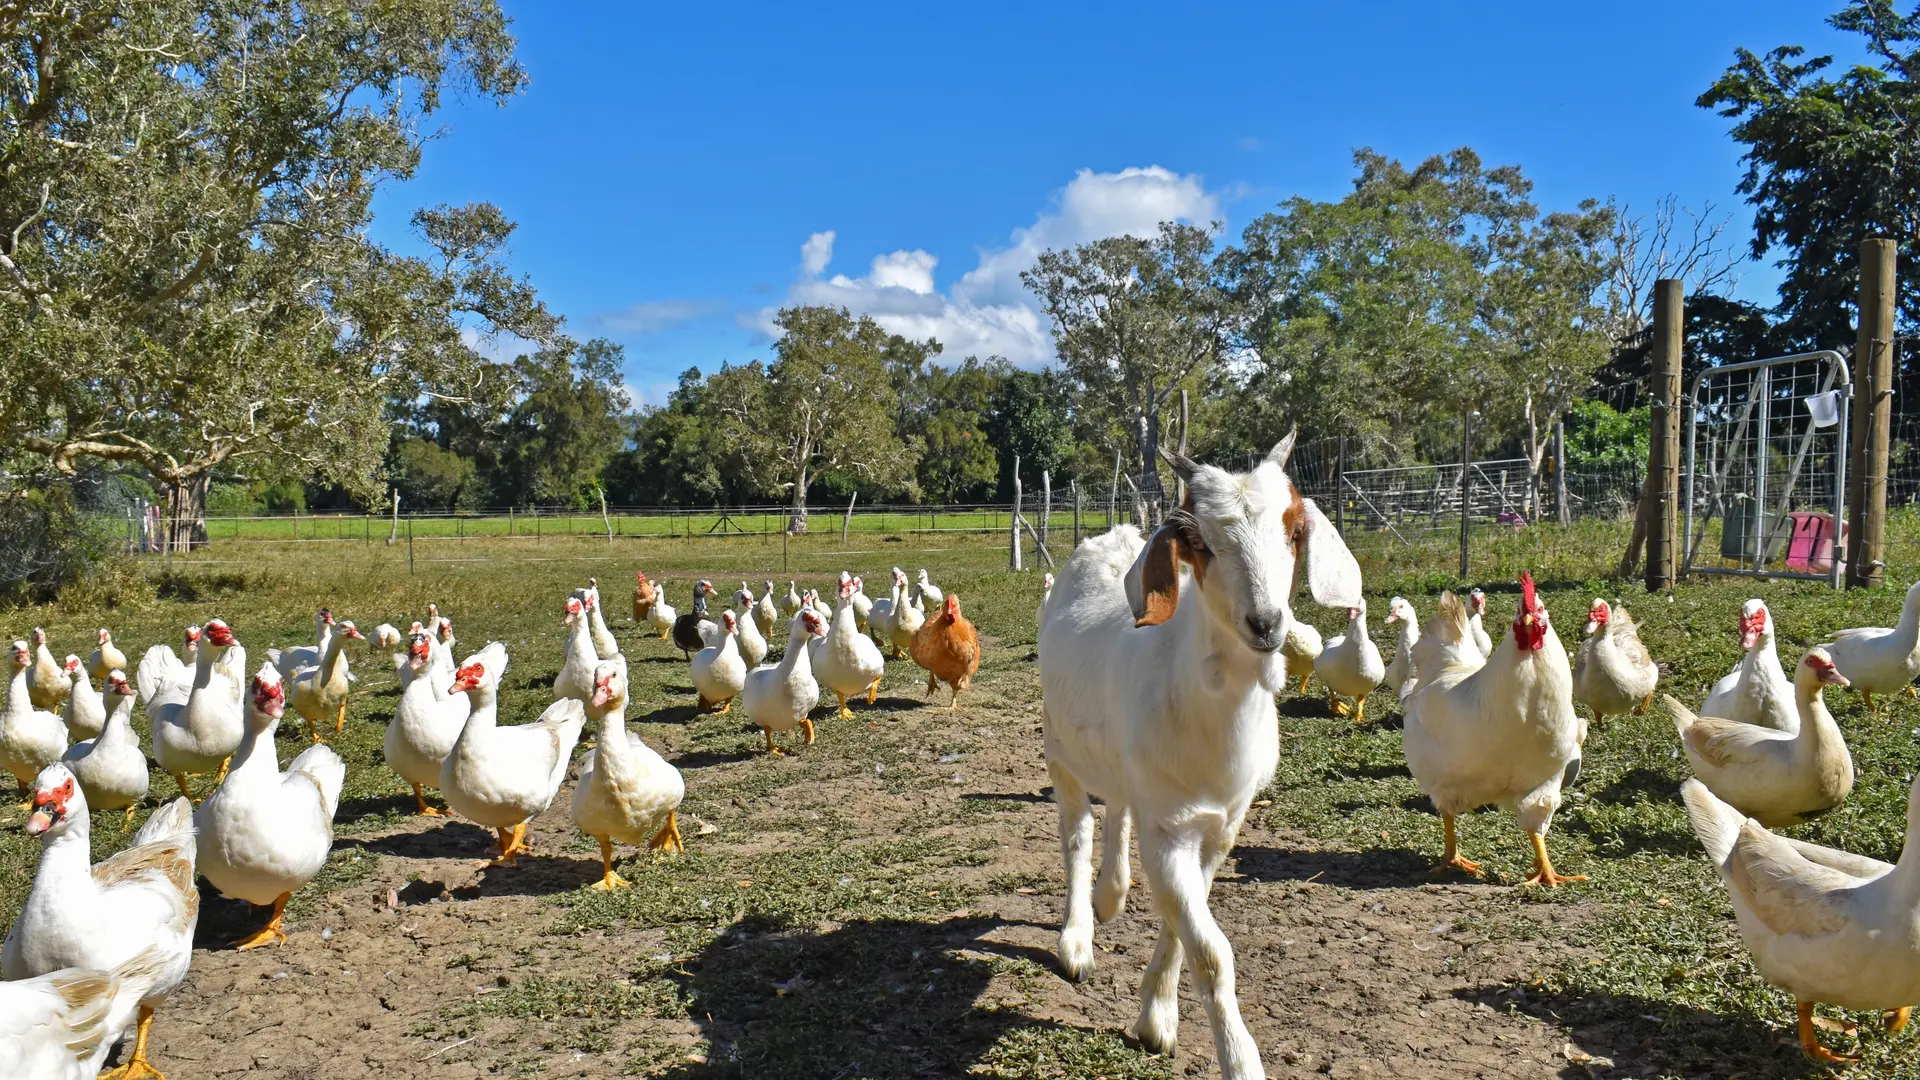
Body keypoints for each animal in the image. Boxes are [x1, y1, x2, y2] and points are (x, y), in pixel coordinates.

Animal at [1036, 430, 1367, 1076]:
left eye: (1293, 530)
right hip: (1059, 750)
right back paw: (1079, 937)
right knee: (1077, 833)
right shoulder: (1171, 830)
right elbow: (1211, 952)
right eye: (1202, 544)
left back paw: (1113, 894)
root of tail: (1114, 536)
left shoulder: (1221, 826)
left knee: (1119, 806)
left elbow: (1179, 927)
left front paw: (1157, 1015)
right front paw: (1236, 1058)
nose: (1266, 622)